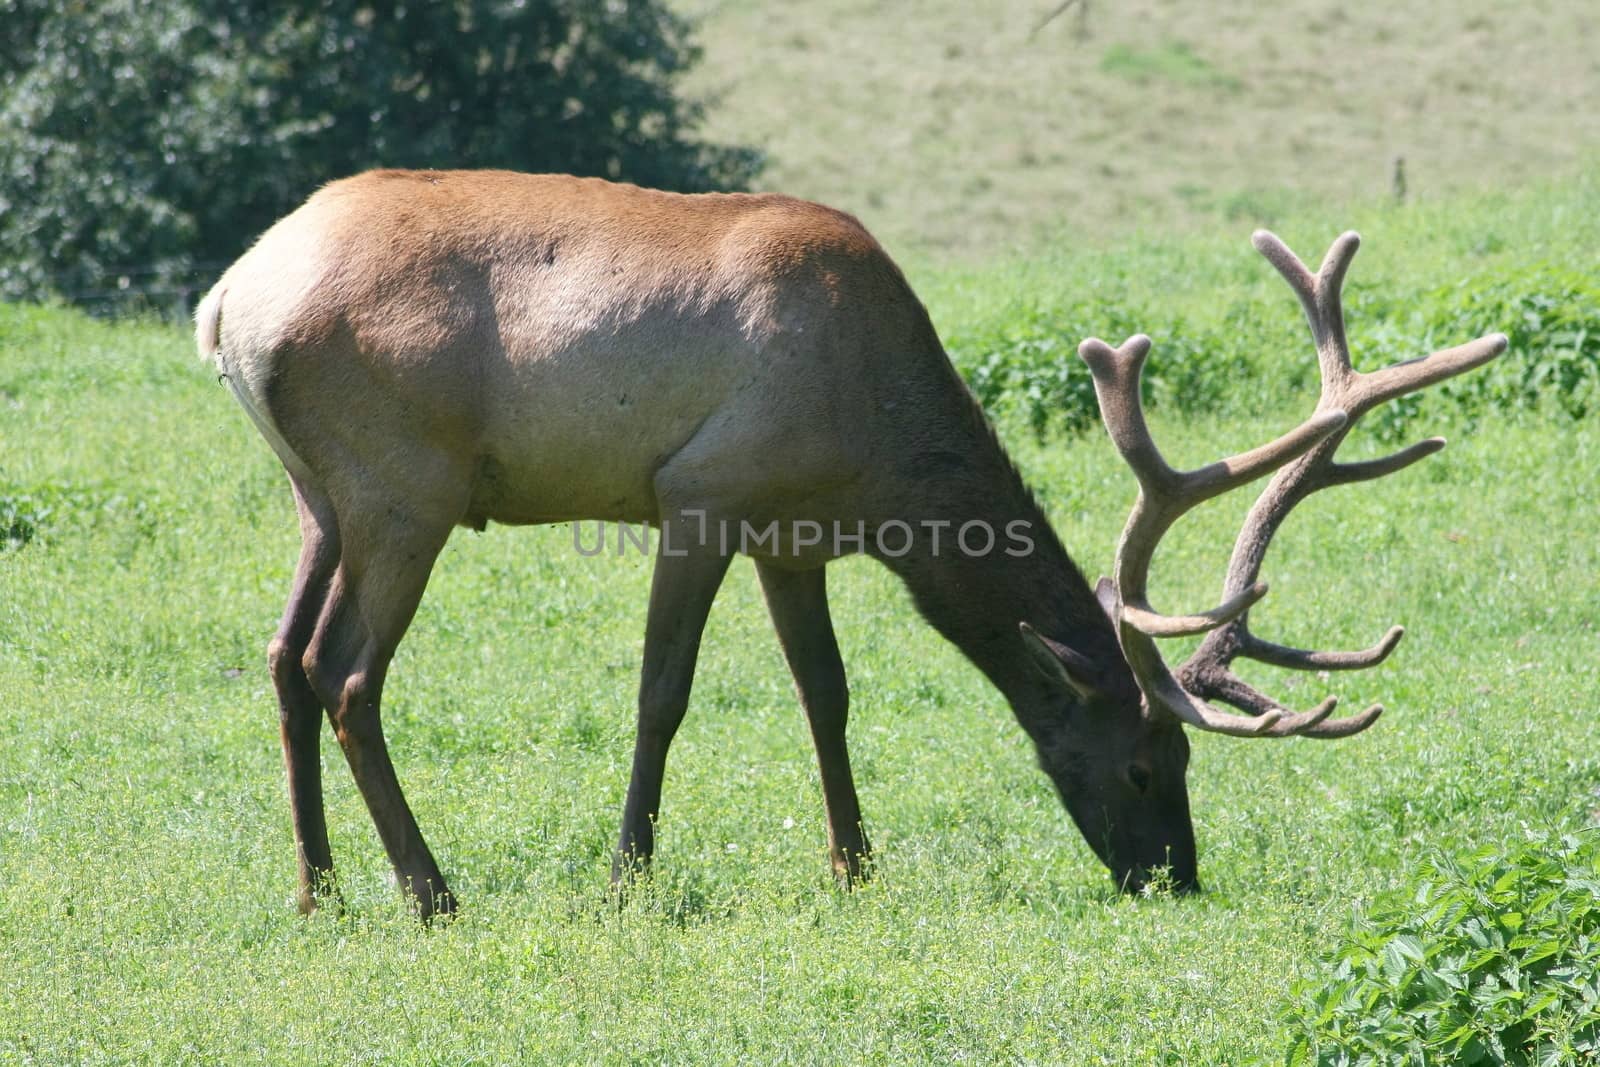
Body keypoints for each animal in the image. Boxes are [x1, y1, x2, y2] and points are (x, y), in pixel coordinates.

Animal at [193, 171, 1504, 921]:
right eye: (1147, 764)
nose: (1172, 877)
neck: (877, 456)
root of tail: (226, 301)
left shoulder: (795, 534)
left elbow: (825, 691)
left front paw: (853, 864)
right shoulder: (701, 490)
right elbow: (662, 690)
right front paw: (627, 876)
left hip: (319, 495)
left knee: (281, 657)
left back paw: (317, 886)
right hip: (402, 484)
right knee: (347, 672)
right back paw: (430, 890)